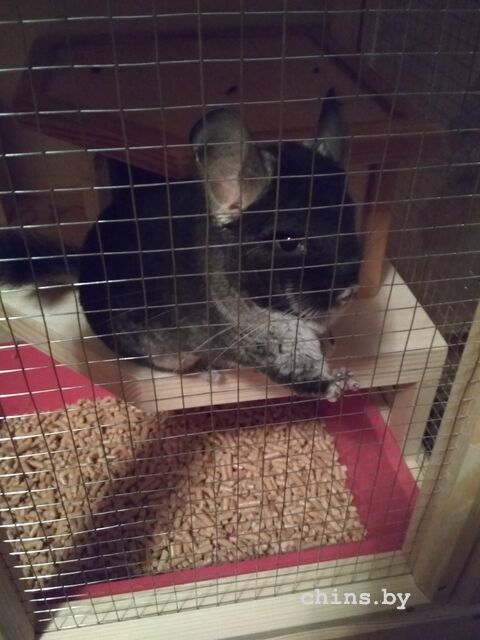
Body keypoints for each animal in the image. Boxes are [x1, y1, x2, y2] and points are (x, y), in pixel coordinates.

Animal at [0, 91, 361, 401]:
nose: (349, 291)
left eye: (352, 217)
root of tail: (85, 263)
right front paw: (342, 383)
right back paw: (207, 373)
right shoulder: (264, 342)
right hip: (167, 352)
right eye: (287, 241)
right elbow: (304, 372)